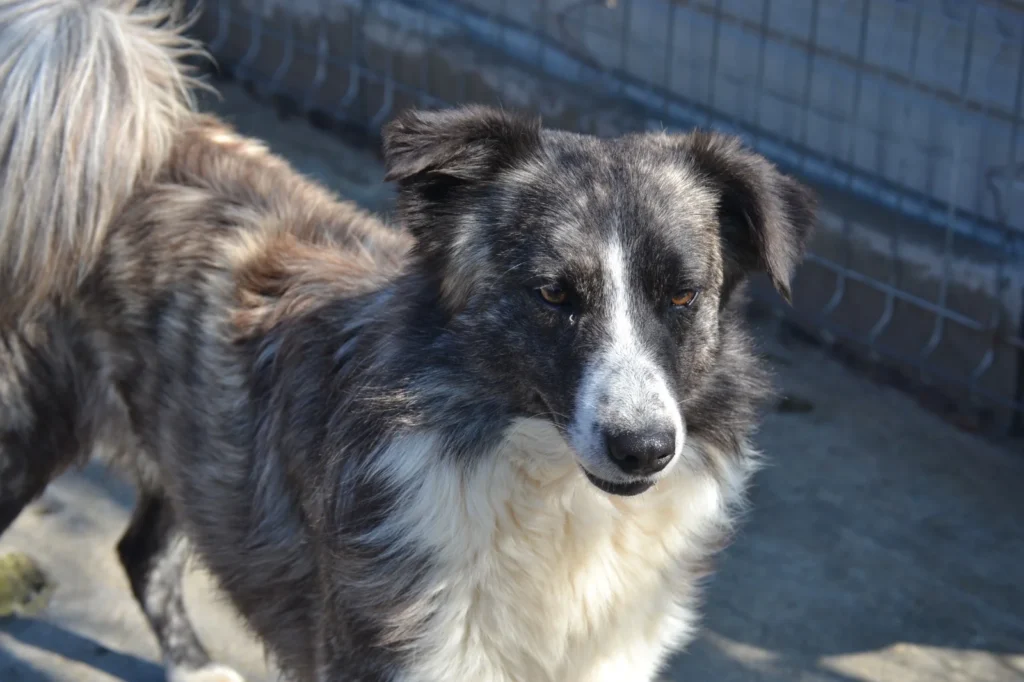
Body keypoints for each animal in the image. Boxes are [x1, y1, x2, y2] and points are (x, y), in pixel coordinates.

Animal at [0, 1, 816, 680]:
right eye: (553, 293)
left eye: (682, 295)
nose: (643, 448)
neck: (544, 484)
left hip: (195, 451)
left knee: (141, 549)